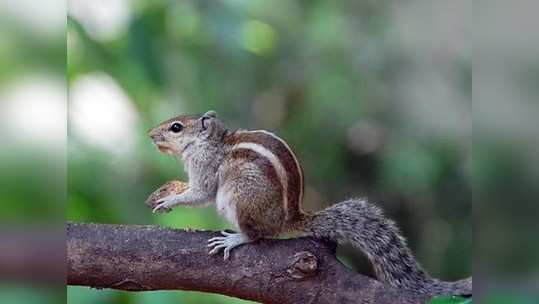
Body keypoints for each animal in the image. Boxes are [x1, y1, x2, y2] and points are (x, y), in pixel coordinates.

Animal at [148, 110, 472, 296]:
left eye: (176, 127)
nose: (150, 134)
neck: (211, 141)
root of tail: (288, 220)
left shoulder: (205, 166)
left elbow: (201, 192)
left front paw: (170, 199)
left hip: (239, 198)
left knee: (258, 235)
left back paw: (235, 239)